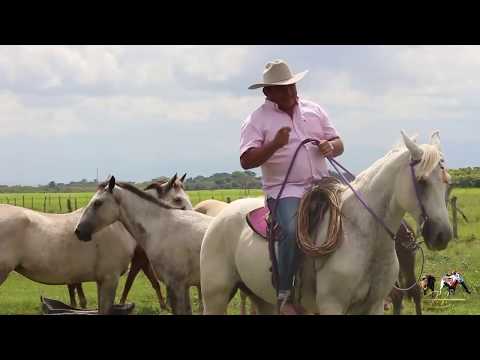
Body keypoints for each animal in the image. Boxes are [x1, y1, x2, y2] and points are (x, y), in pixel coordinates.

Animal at [199, 132, 454, 316]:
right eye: (421, 181)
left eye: (447, 181)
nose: (442, 235)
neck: (363, 236)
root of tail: (220, 216)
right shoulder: (332, 305)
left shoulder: (375, 304)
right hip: (215, 296)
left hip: (261, 298)